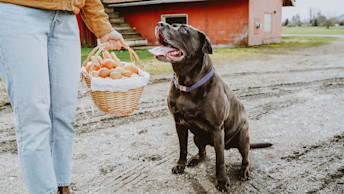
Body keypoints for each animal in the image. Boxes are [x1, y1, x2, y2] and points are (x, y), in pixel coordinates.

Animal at [148, 22, 272, 192]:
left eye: (184, 30)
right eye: (173, 25)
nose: (160, 23)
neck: (187, 82)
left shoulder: (217, 129)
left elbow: (220, 160)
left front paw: (222, 181)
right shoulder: (179, 124)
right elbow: (182, 148)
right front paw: (180, 165)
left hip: (242, 137)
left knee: (246, 157)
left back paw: (244, 171)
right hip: (197, 137)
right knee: (203, 152)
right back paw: (195, 159)